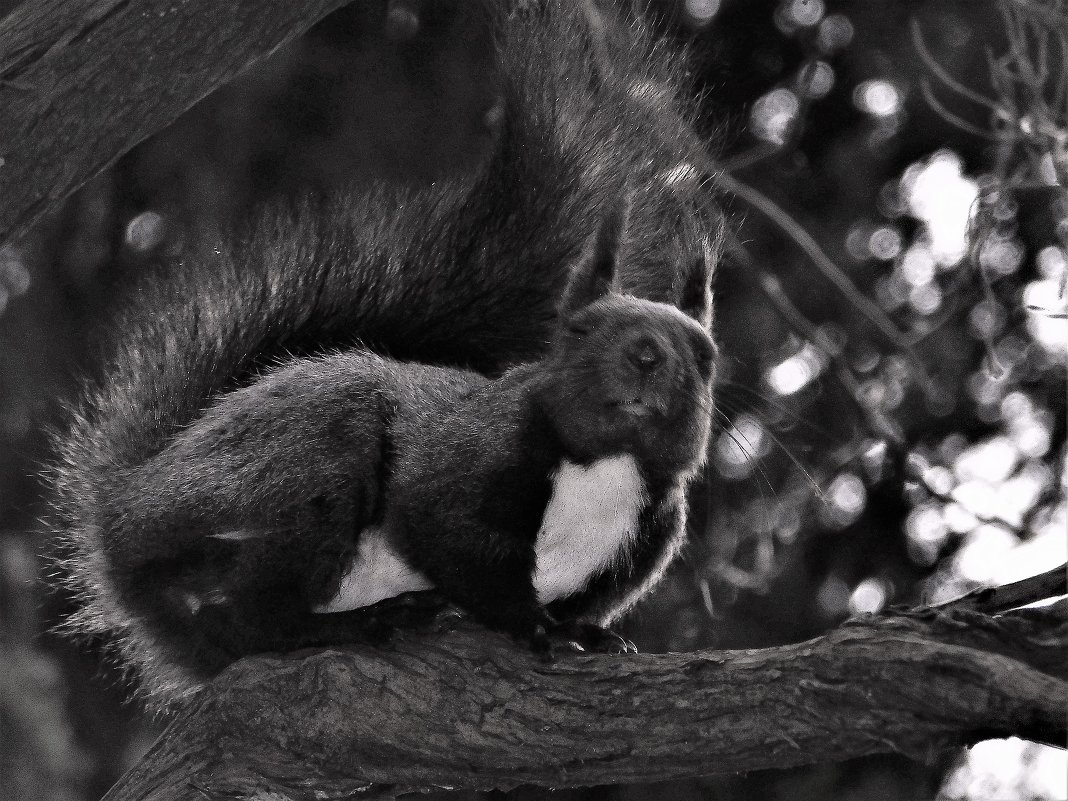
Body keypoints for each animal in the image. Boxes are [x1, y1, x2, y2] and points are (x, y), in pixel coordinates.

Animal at [45, 0, 721, 704]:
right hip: (292, 470)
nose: (646, 355)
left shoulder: (645, 541)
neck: (607, 467)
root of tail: (125, 514)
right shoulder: (465, 463)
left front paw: (584, 633)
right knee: (250, 617)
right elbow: (446, 537)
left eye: (705, 356)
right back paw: (353, 625)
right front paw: (536, 628)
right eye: (578, 331)